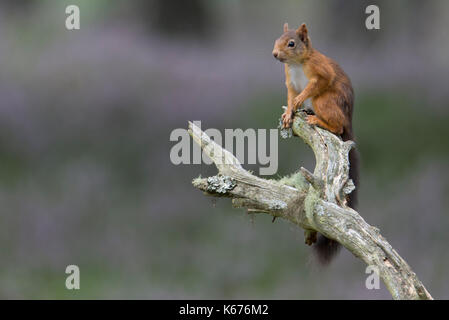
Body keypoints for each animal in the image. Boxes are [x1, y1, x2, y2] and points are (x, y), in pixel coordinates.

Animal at [272, 23, 358, 264]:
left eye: (291, 43)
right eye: (277, 40)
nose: (275, 54)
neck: (296, 64)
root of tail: (349, 117)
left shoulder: (320, 70)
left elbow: (316, 84)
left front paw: (301, 100)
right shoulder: (289, 81)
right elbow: (290, 96)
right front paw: (289, 114)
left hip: (325, 101)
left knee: (338, 127)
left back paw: (318, 119)